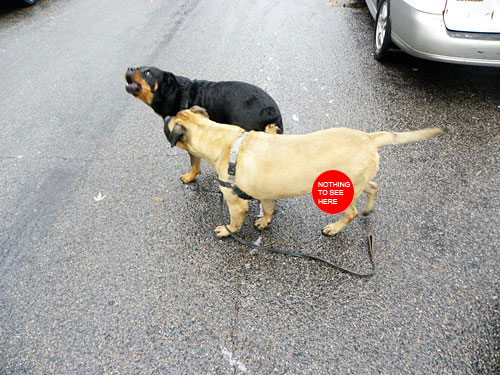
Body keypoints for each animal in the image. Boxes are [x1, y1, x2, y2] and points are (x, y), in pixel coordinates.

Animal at [125, 67, 284, 185]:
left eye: (148, 73)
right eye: (137, 68)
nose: (129, 68)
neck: (176, 94)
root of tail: (272, 113)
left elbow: (194, 163)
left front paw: (190, 177)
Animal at [165, 107, 446, 239]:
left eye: (169, 125)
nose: (165, 115)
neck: (223, 140)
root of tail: (369, 137)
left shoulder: (236, 203)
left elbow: (235, 222)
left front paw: (226, 231)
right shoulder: (265, 191)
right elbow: (268, 208)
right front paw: (265, 222)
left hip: (346, 189)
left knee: (350, 213)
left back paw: (334, 228)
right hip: (354, 180)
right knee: (373, 186)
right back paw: (368, 208)